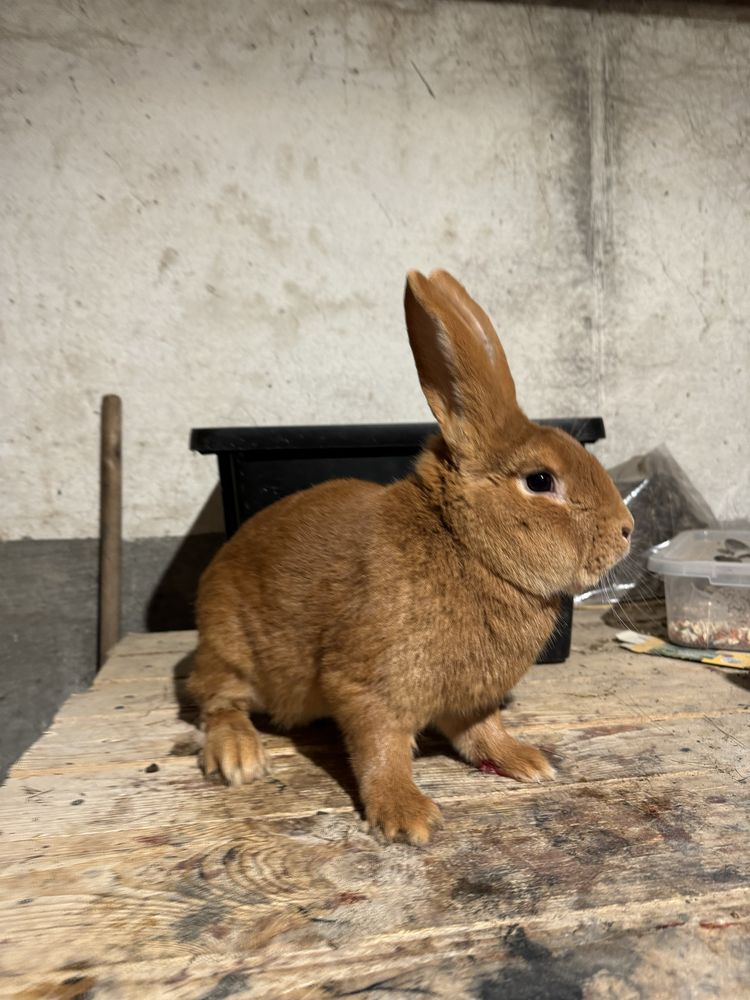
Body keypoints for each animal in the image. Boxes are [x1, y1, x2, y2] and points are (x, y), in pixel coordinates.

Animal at [189, 268, 636, 844]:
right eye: (540, 481)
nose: (627, 530)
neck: (464, 545)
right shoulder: (367, 687)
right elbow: (382, 750)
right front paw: (407, 817)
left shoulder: (472, 699)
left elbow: (481, 732)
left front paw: (526, 760)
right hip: (231, 648)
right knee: (217, 700)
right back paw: (239, 758)